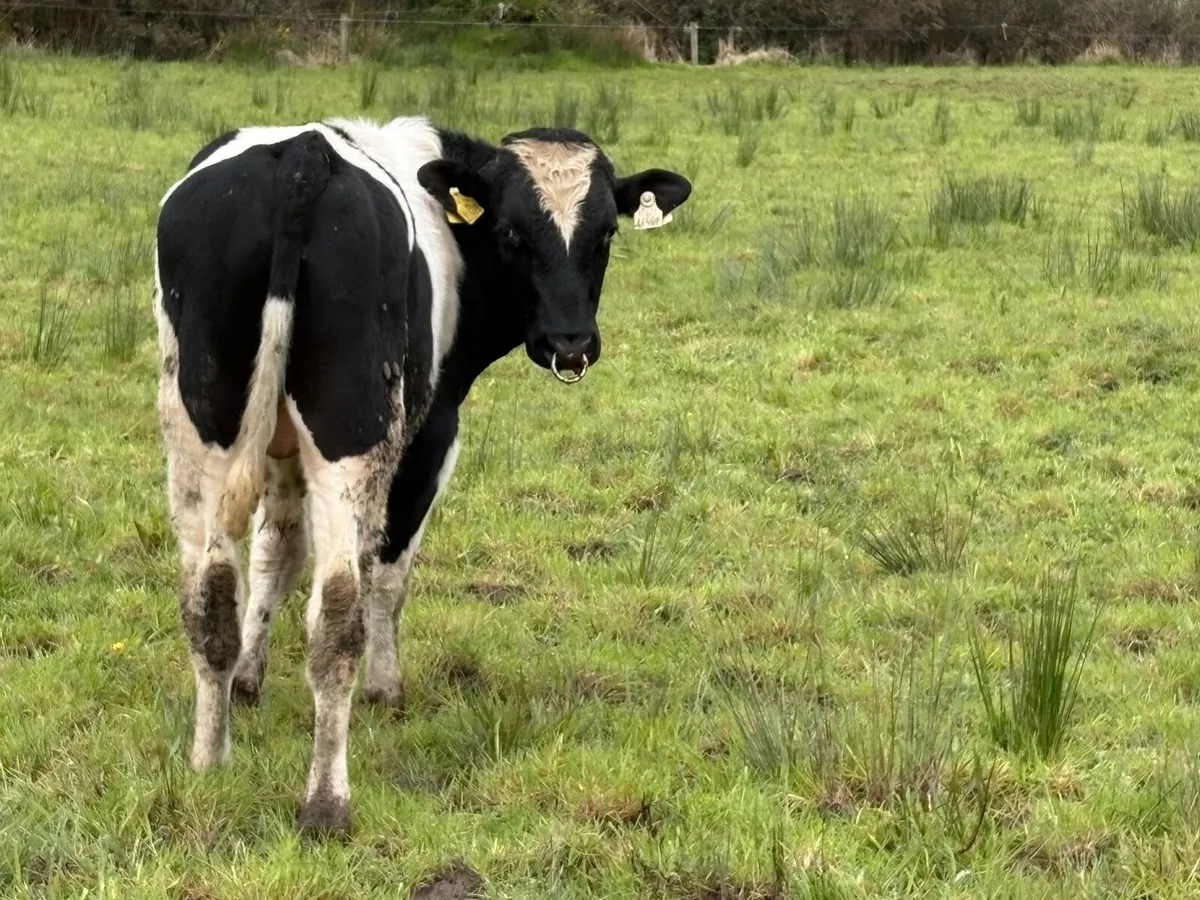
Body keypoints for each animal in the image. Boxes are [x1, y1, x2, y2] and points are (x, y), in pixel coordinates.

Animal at [153, 115, 691, 836]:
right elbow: (388, 569)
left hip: (198, 427)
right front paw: (385, 688)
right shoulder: (432, 433)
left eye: (605, 233)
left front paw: (247, 678)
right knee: (338, 614)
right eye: (511, 233)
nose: (571, 342)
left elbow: (276, 554)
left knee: (209, 592)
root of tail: (303, 158)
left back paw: (210, 761)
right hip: (354, 430)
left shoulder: (280, 449)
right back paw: (327, 802)